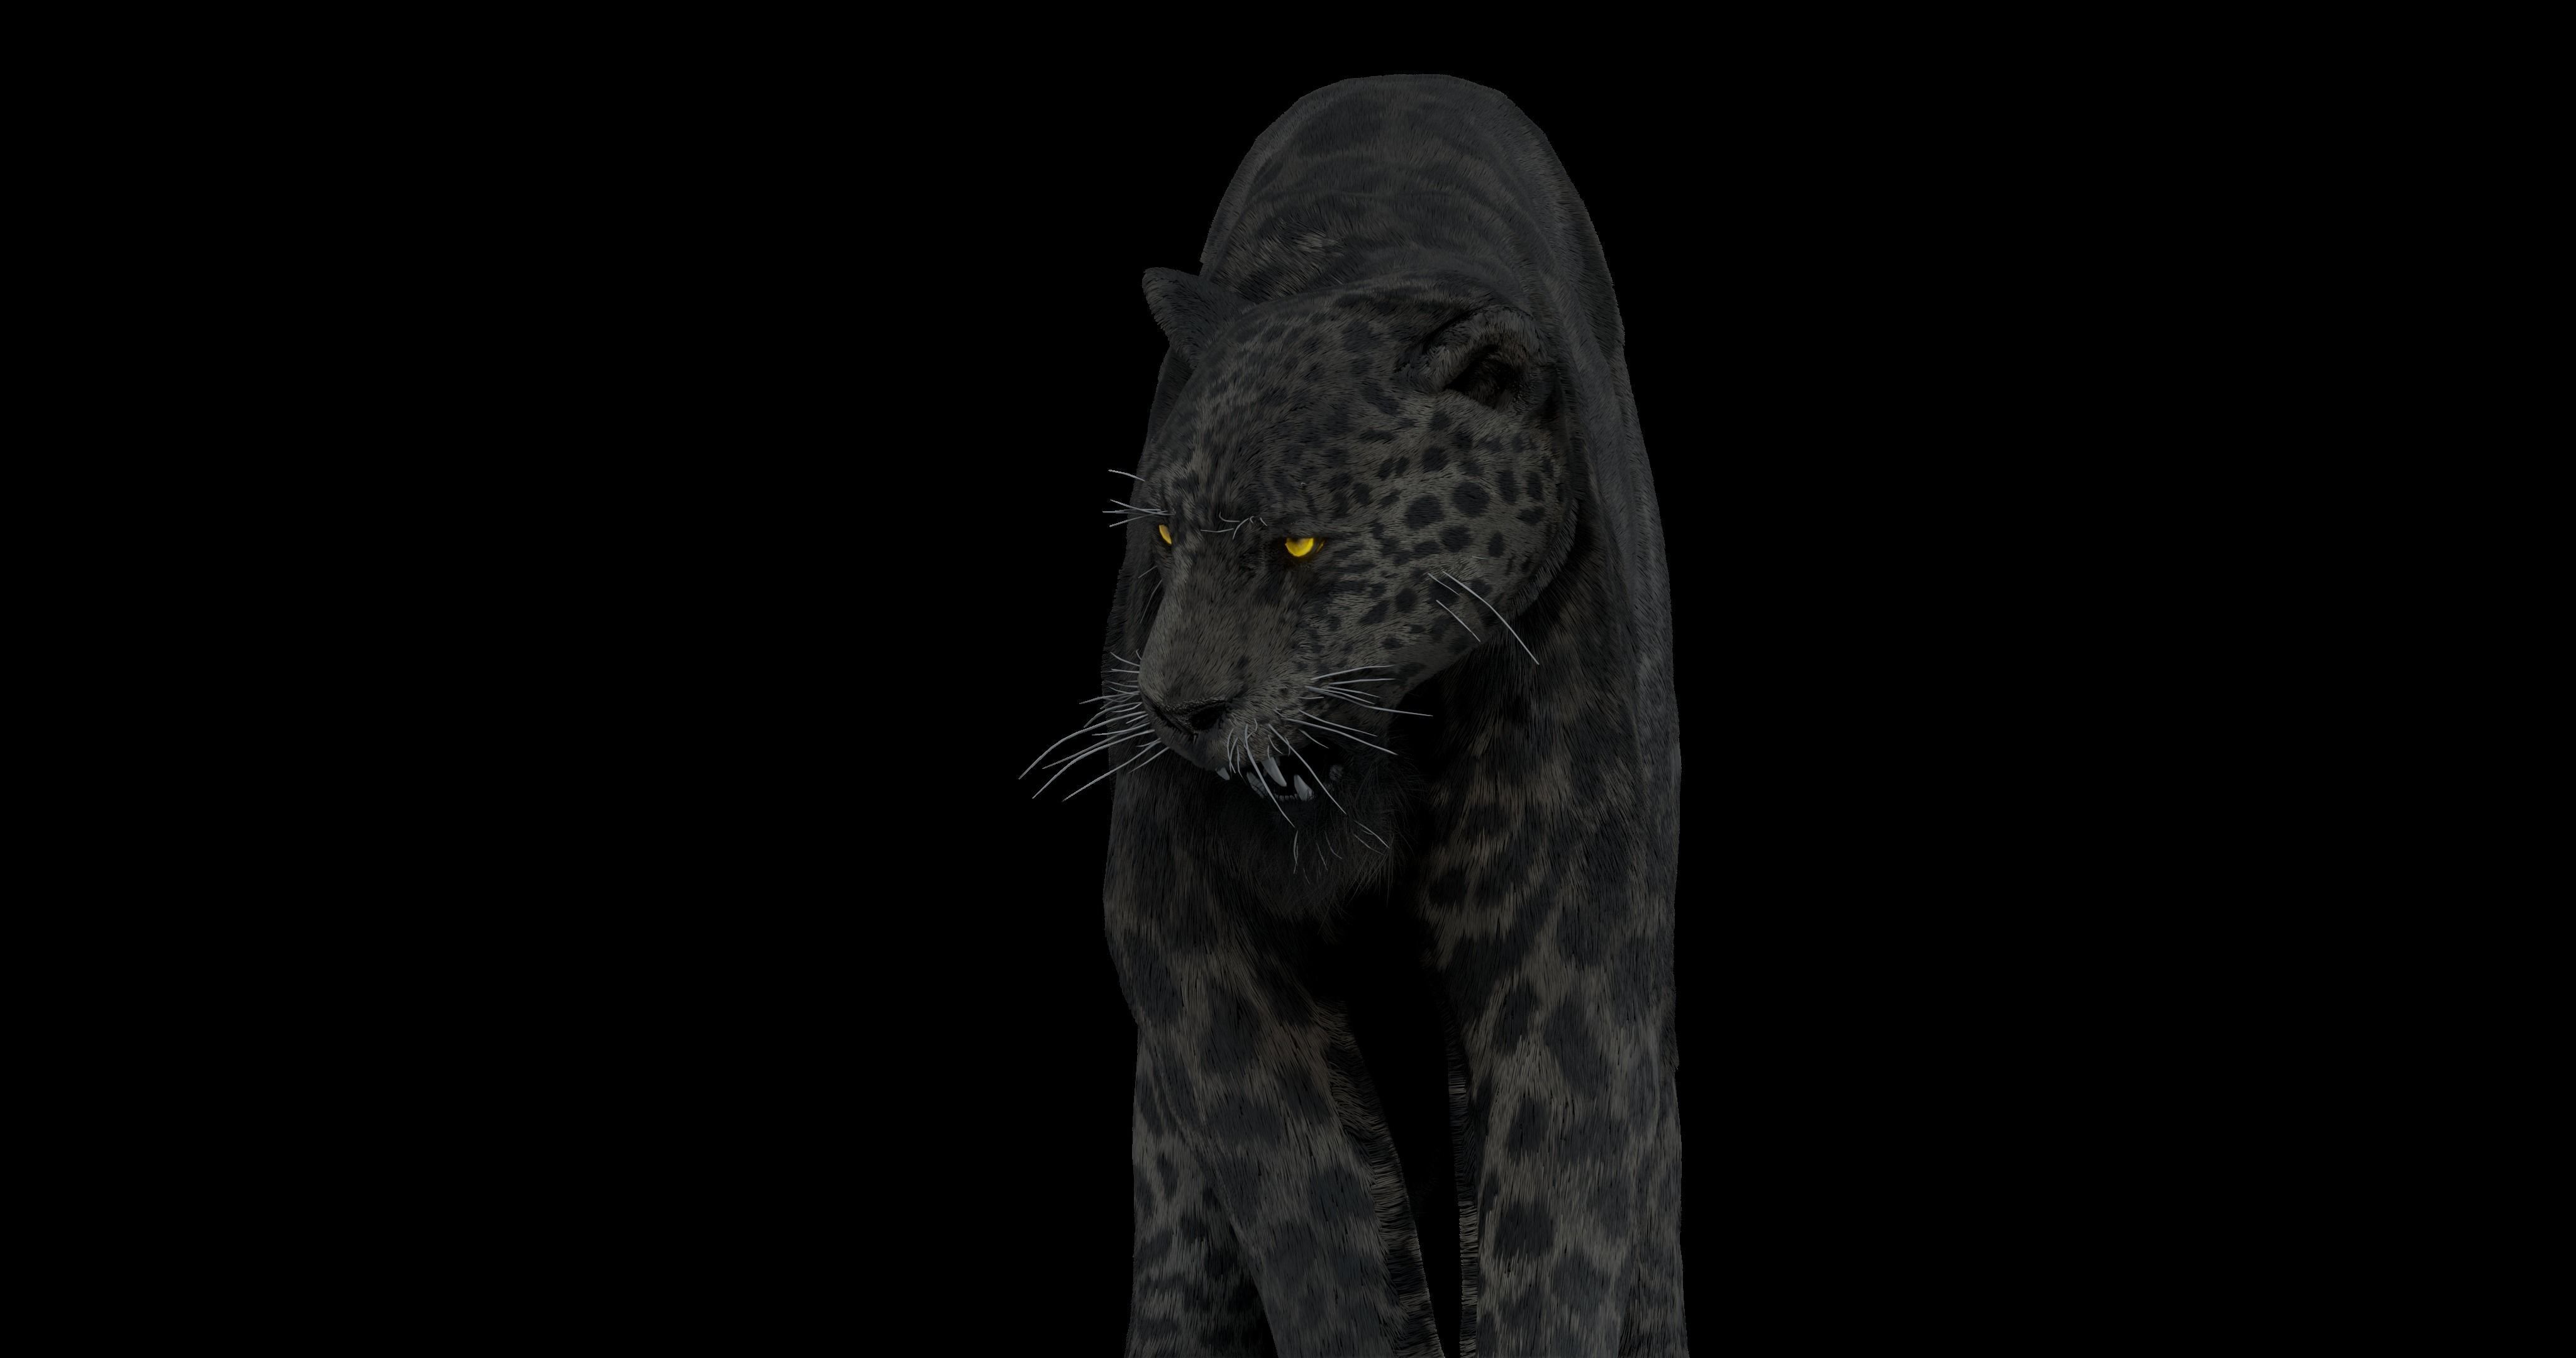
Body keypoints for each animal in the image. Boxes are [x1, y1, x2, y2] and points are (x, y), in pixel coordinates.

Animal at [1030, 73, 1683, 1357]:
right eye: (1165, 533)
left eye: (1299, 546)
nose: (1177, 709)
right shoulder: (1201, 946)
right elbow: (1321, 1225)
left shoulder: (1566, 955)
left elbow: (1559, 1227)